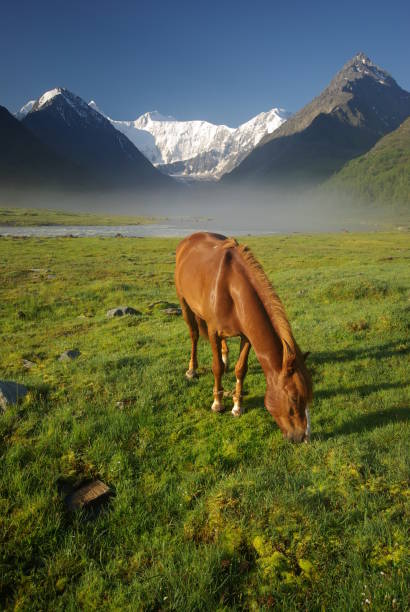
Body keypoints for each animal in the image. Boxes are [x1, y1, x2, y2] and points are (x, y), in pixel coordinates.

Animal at [175, 232, 312, 442]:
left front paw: (237, 407)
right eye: (294, 398)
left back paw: (225, 358)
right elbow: (216, 368)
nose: (303, 437)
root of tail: (188, 239)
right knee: (194, 334)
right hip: (184, 302)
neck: (231, 288)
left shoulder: (246, 336)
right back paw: (192, 369)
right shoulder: (213, 331)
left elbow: (241, 369)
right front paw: (217, 403)